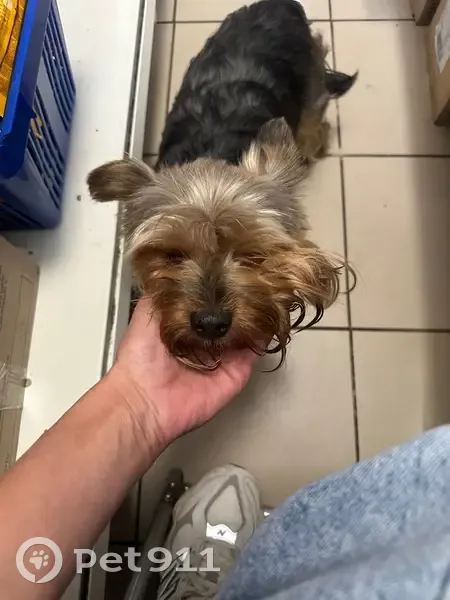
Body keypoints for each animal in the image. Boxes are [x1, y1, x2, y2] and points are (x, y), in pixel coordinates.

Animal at [88, 0, 356, 369]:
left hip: (311, 84)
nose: (211, 324)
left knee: (316, 122)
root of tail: (279, 4)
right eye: (172, 255)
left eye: (253, 254)